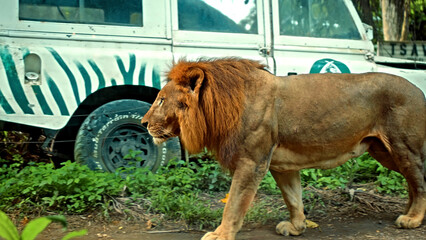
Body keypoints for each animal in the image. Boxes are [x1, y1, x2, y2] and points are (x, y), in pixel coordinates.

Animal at [142, 57, 426, 239]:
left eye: (161, 100)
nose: (143, 123)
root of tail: (419, 90)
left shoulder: (252, 162)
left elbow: (233, 203)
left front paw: (220, 234)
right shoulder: (282, 166)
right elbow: (293, 198)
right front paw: (297, 227)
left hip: (403, 147)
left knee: (420, 181)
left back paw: (413, 219)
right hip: (383, 151)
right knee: (413, 182)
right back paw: (409, 212)